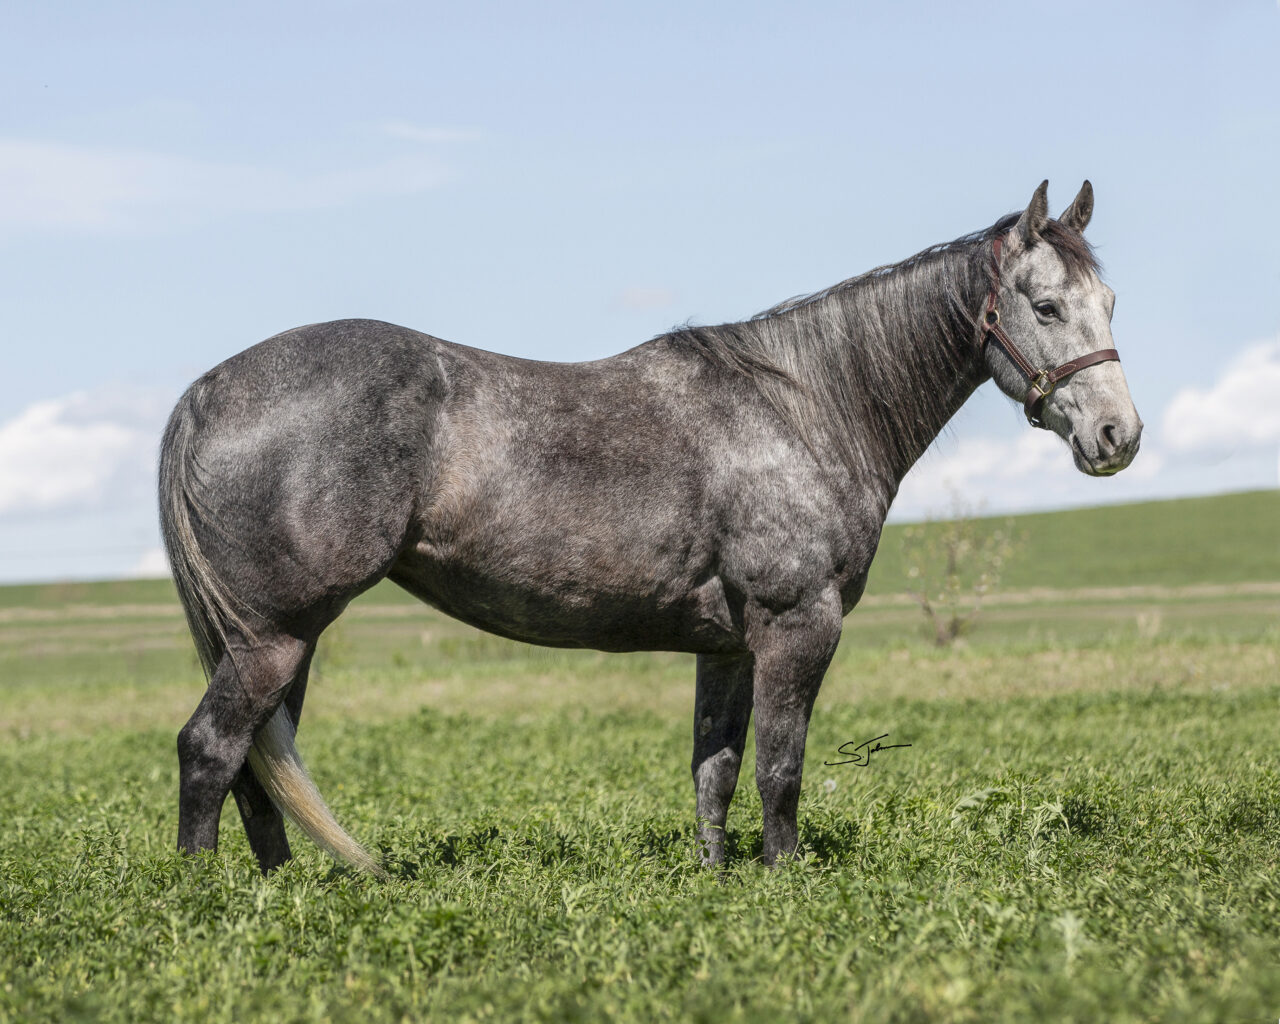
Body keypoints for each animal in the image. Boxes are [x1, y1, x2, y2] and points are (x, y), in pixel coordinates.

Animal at [159, 180, 1141, 875]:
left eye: (1110, 304)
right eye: (1045, 307)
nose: (1117, 436)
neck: (803, 405)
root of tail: (206, 390)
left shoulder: (730, 647)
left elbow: (717, 771)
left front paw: (717, 881)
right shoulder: (798, 626)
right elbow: (781, 768)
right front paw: (788, 881)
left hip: (277, 642)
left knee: (254, 764)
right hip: (276, 636)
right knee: (211, 749)